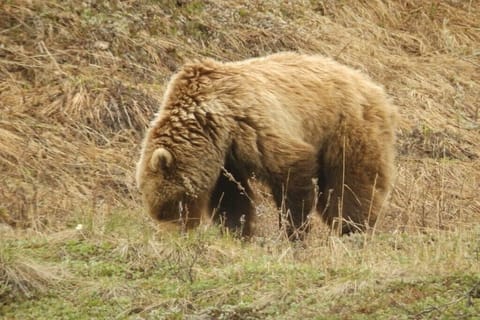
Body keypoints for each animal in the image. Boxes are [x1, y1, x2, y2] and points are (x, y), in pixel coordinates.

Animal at [136, 52, 398, 238]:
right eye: (158, 210)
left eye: (170, 206)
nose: (173, 235)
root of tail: (375, 87)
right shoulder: (226, 158)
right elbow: (231, 198)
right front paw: (238, 232)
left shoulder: (253, 126)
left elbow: (293, 174)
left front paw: (294, 233)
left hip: (346, 128)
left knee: (351, 186)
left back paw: (353, 229)